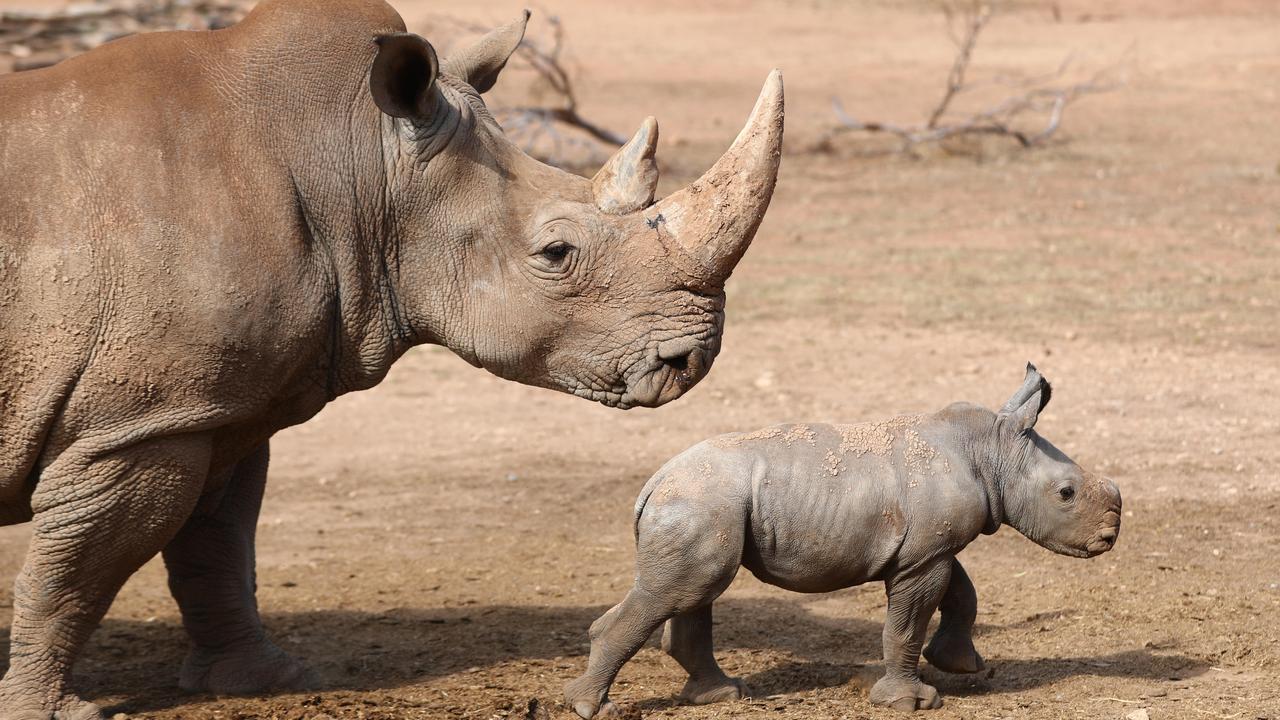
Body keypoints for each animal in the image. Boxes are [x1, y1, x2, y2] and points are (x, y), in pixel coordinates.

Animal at [568, 363, 1121, 712]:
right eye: (1067, 493)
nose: (1109, 538)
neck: (993, 450)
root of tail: (654, 481)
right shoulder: (924, 555)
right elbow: (908, 622)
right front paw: (913, 702)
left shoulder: (930, 545)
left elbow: (964, 594)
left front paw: (961, 664)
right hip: (700, 501)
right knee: (681, 591)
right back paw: (592, 708)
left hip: (703, 504)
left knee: (694, 590)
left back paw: (722, 695)